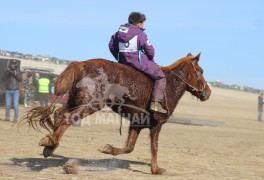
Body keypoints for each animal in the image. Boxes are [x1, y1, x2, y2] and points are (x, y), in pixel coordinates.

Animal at [22, 52, 210, 174]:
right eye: (201, 71)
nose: (207, 92)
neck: (170, 85)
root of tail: (81, 63)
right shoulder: (157, 125)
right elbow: (154, 147)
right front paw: (156, 170)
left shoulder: (137, 123)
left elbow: (129, 147)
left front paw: (108, 149)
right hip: (91, 104)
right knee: (67, 118)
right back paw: (50, 142)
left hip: (76, 101)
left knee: (59, 114)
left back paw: (50, 146)